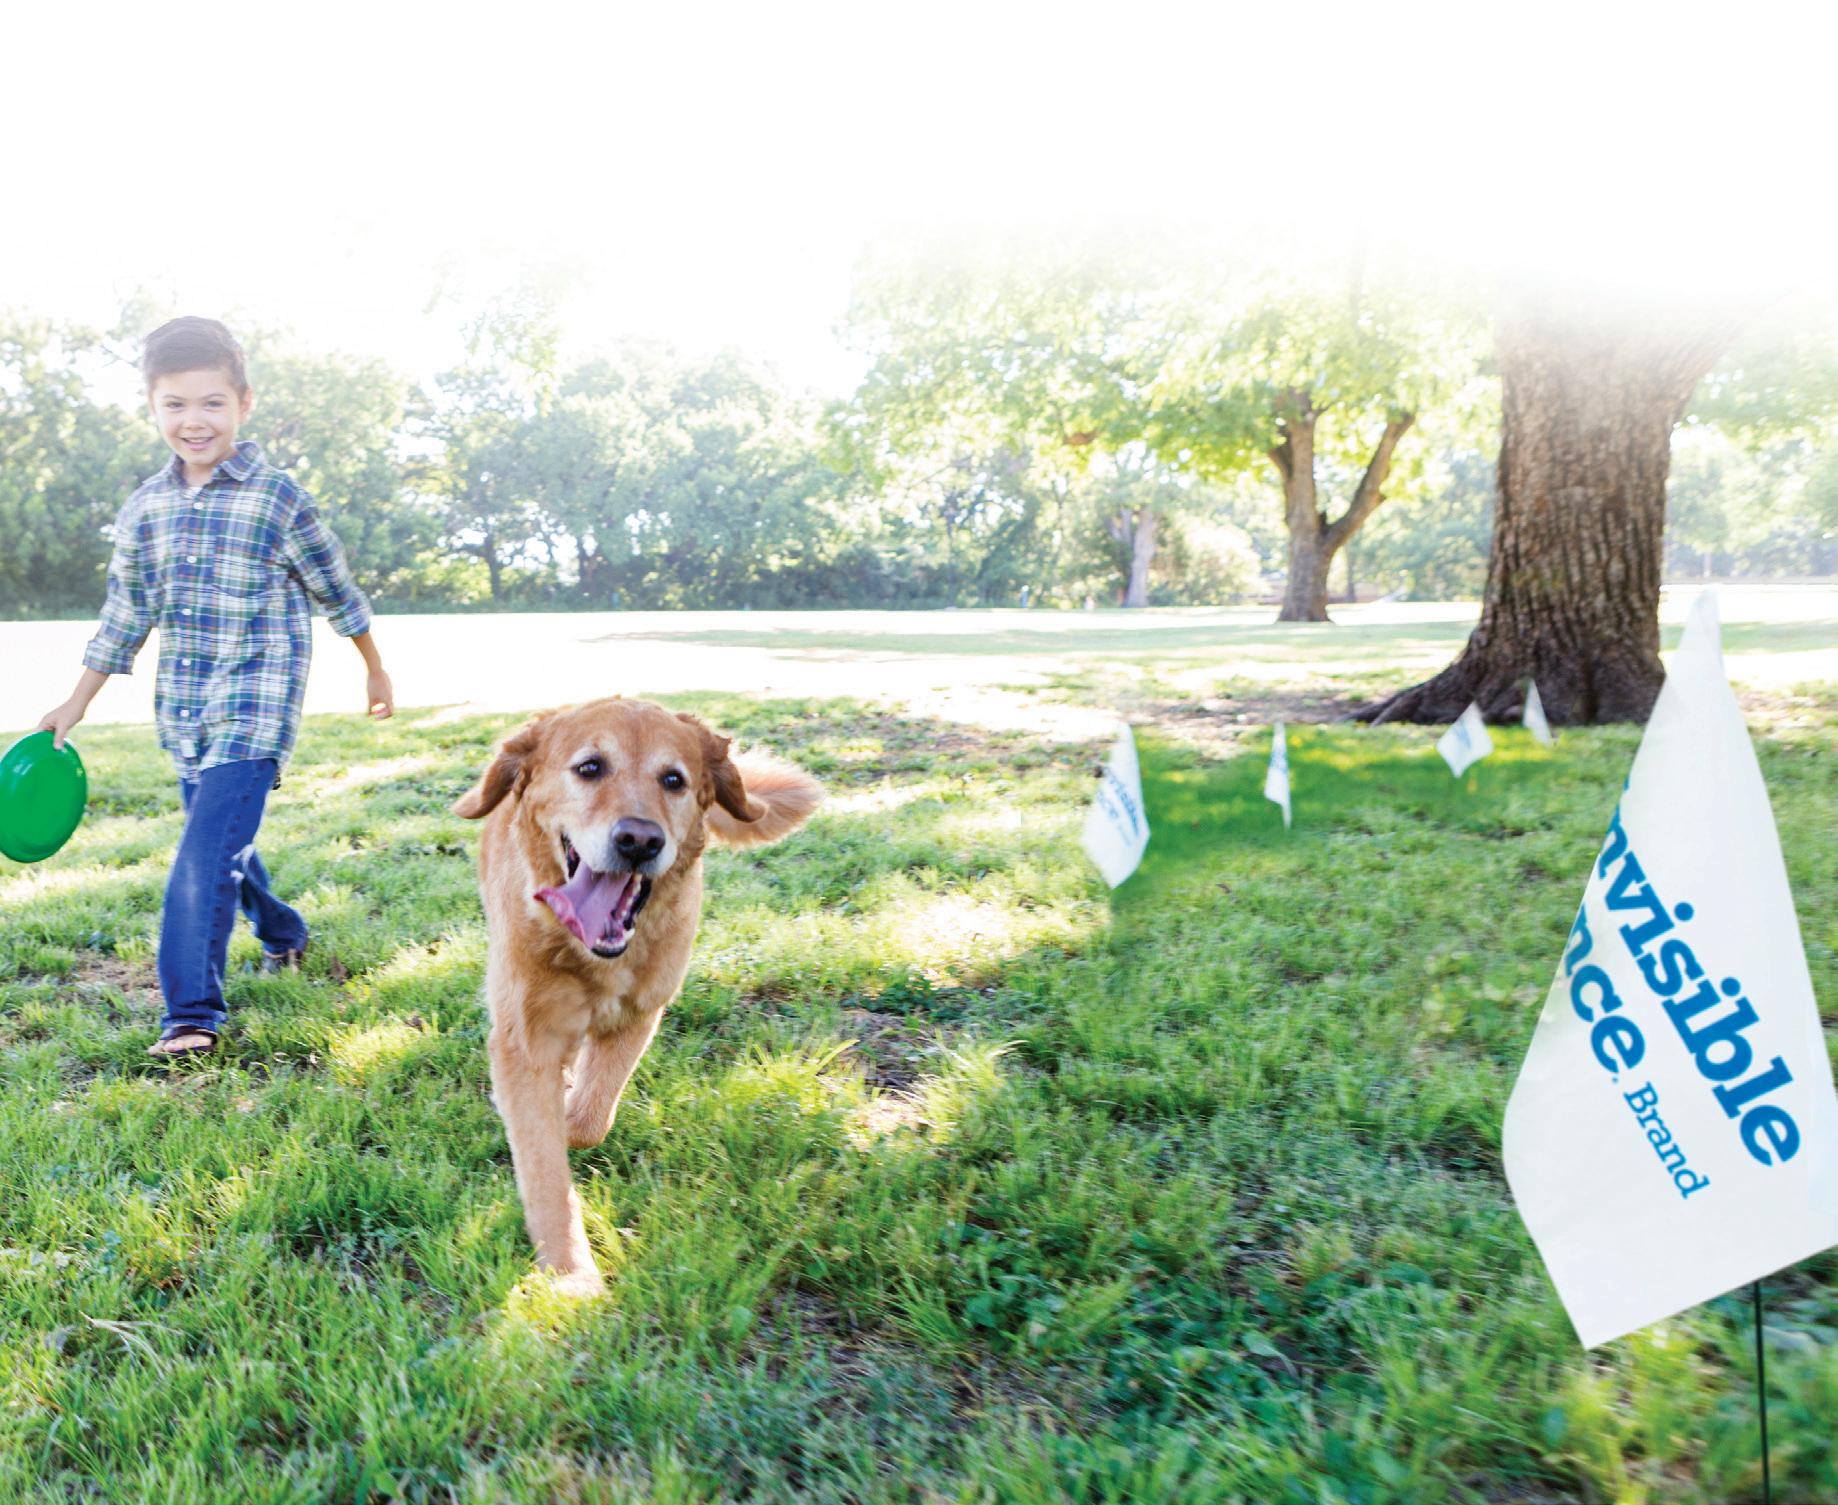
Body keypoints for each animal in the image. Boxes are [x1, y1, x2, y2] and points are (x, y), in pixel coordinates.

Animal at [454, 698, 822, 1295]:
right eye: (589, 768)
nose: (639, 840)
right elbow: (545, 1167)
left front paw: (571, 1110)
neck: (592, 955)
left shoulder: (639, 1015)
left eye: (673, 780)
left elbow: (586, 1121)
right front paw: (570, 1274)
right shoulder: (524, 1040)